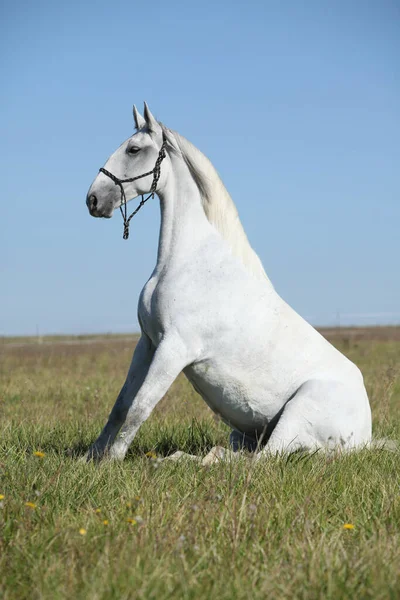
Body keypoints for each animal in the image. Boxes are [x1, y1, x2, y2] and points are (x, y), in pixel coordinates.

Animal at [85, 103, 372, 462]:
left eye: (133, 150)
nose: (94, 200)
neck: (189, 259)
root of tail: (366, 436)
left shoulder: (173, 349)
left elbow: (140, 407)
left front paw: (111, 461)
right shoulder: (148, 343)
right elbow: (120, 406)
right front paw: (89, 458)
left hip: (294, 418)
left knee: (259, 461)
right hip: (244, 433)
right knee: (229, 455)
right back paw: (175, 460)